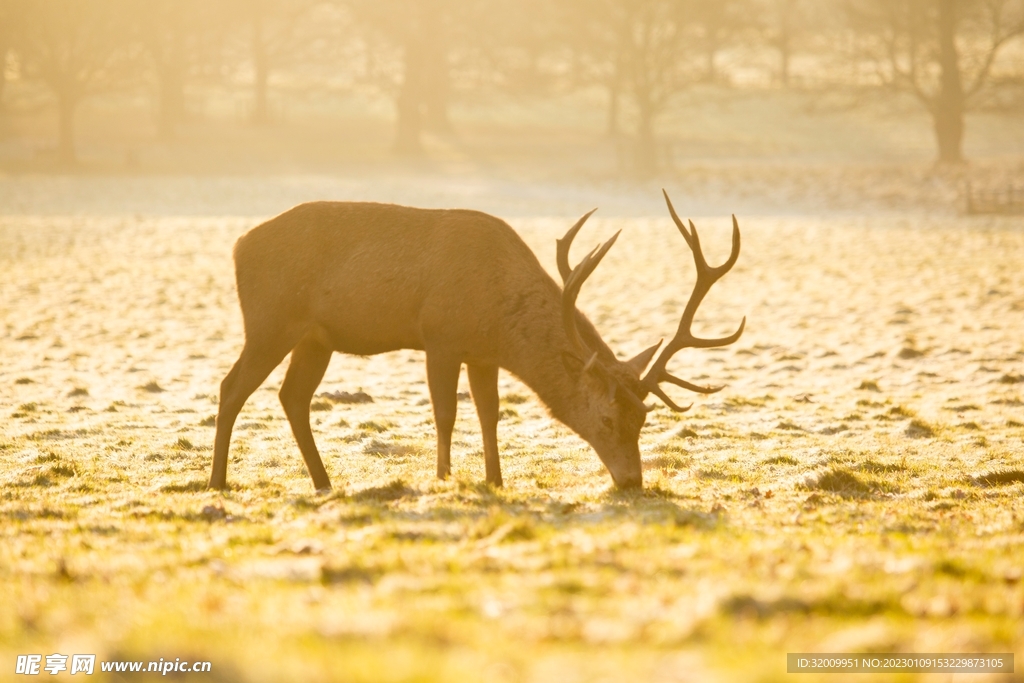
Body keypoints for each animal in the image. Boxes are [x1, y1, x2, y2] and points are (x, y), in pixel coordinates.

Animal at [208, 191, 744, 492]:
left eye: (644, 418)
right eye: (609, 418)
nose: (633, 482)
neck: (498, 319)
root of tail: (236, 246)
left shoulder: (483, 356)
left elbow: (490, 414)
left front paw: (495, 479)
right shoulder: (439, 335)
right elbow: (446, 412)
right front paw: (444, 478)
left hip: (316, 338)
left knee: (292, 396)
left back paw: (323, 483)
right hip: (269, 321)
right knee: (231, 387)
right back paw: (218, 482)